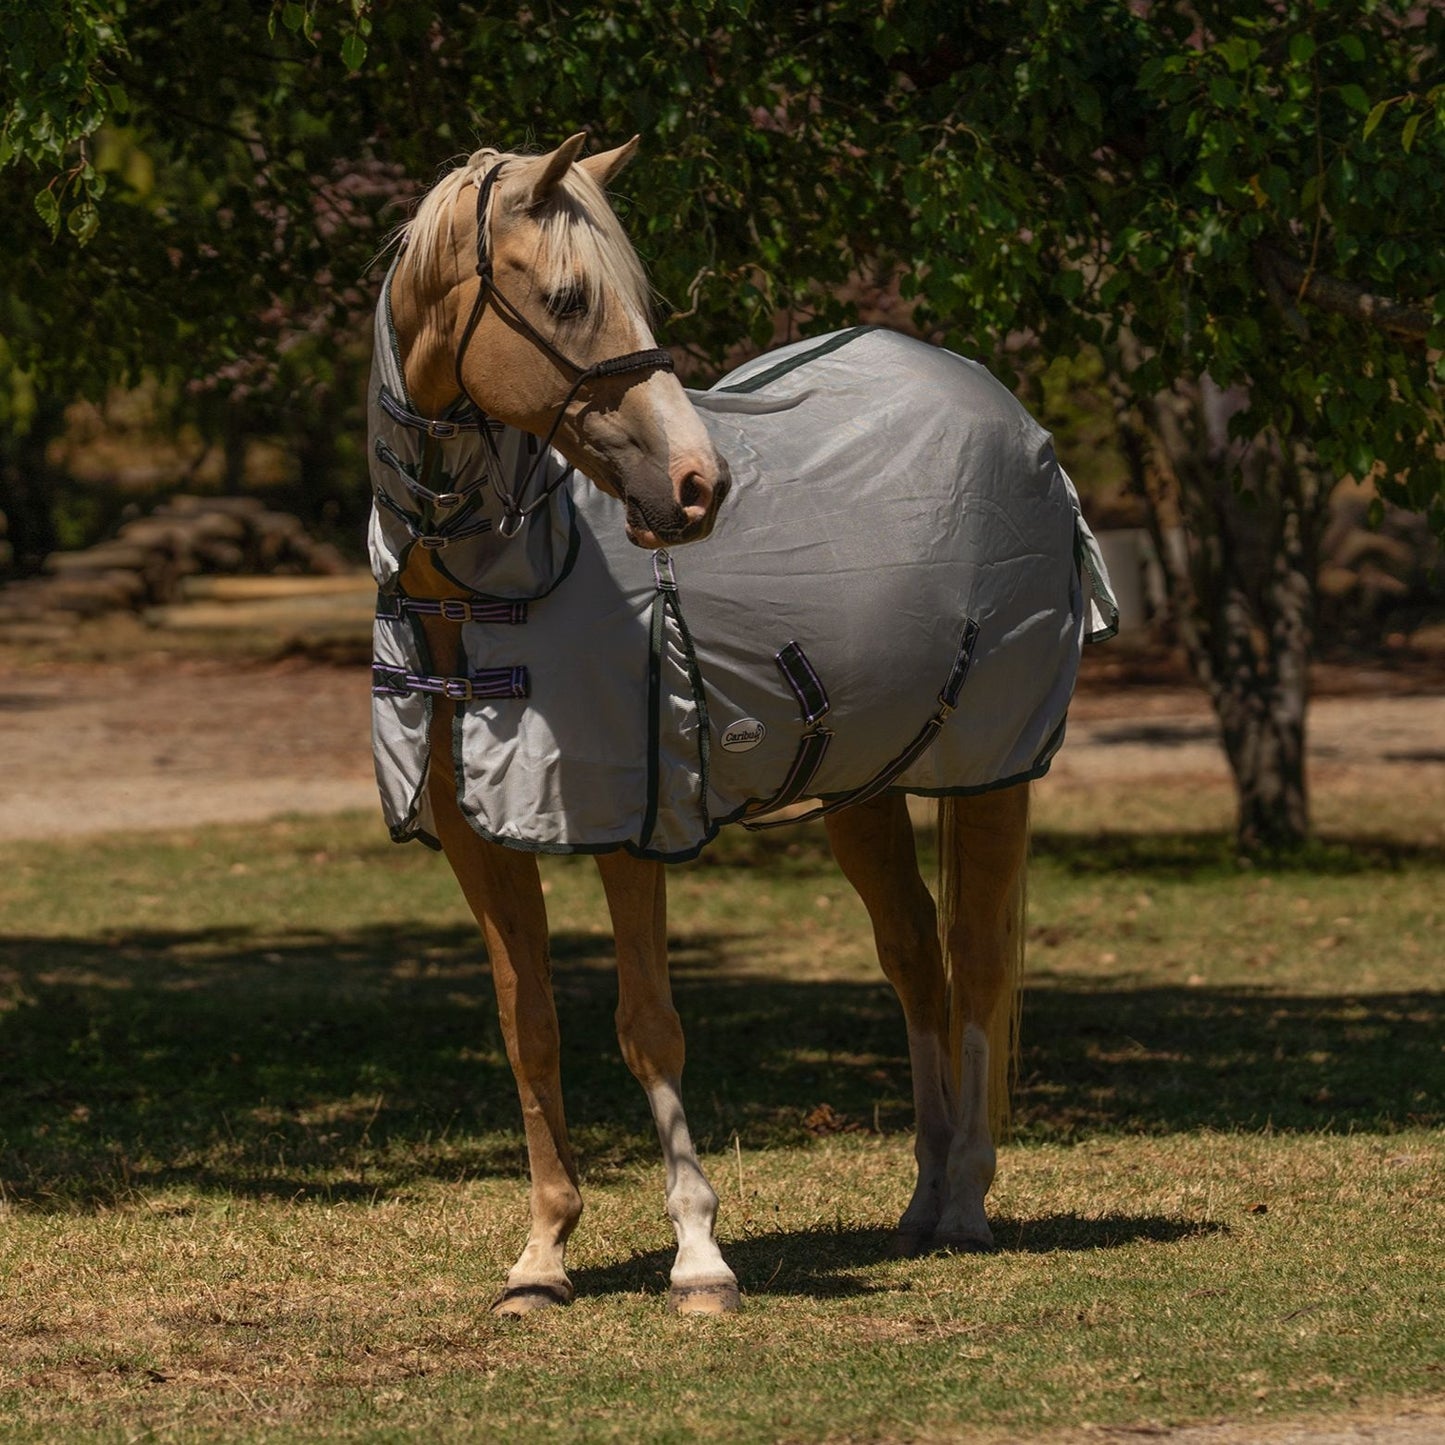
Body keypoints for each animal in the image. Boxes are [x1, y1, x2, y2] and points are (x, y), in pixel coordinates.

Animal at [370, 134, 1115, 1316]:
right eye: (570, 296)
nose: (696, 484)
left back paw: (963, 1200)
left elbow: (647, 1025)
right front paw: (540, 1256)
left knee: (976, 966)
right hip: (863, 786)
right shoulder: (481, 838)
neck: (497, 582)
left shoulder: (632, 825)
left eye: (636, 293)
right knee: (916, 961)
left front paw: (699, 1256)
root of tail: (1005, 410)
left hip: (994, 771)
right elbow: (528, 1028)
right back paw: (920, 1201)